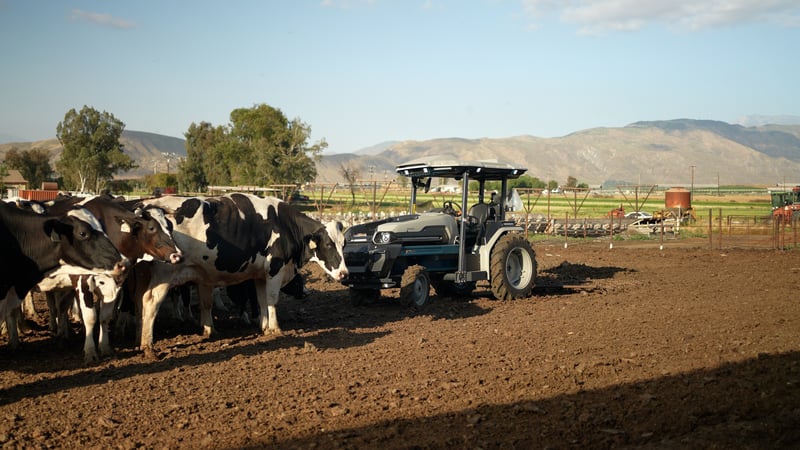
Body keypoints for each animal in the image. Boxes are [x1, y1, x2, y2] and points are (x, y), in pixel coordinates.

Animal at [128, 193, 346, 356]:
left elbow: (261, 300)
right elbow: (272, 299)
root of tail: (144, 205)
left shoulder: (260, 275)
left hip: (143, 275)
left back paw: (139, 338)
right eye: (328, 244)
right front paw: (275, 328)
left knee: (138, 302)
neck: (284, 224)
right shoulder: (275, 269)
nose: (344, 274)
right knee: (150, 302)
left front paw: (265, 326)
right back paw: (148, 345)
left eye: (343, 244)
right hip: (164, 274)